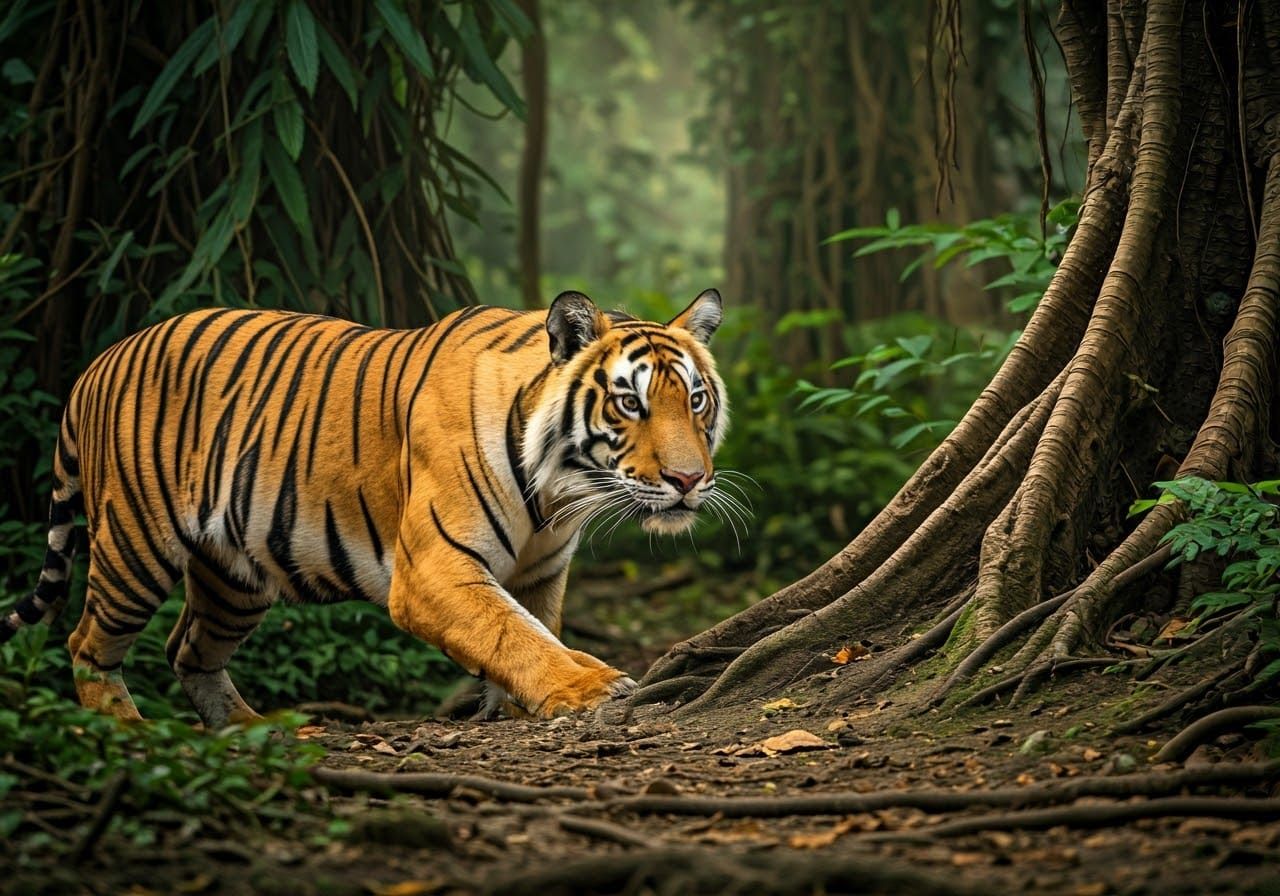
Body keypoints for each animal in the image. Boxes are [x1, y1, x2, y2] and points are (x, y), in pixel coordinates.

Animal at [0, 289, 729, 725]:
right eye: (629, 402)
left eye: (695, 399)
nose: (689, 479)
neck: (559, 490)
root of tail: (95, 366)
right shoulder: (433, 570)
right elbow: (510, 634)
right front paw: (587, 690)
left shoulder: (540, 571)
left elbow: (533, 629)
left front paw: (524, 707)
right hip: (135, 544)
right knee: (86, 642)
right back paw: (127, 731)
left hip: (233, 574)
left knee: (189, 651)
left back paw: (258, 732)